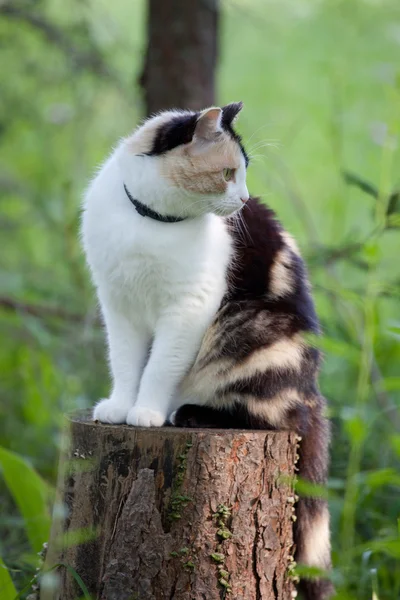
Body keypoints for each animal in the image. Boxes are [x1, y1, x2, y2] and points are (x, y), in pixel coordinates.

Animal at [79, 103, 332, 600]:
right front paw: (120, 406)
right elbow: (126, 364)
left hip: (249, 338)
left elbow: (159, 369)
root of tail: (312, 393)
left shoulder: (188, 311)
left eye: (244, 173)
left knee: (273, 418)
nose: (244, 199)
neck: (151, 224)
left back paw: (189, 413)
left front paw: (146, 412)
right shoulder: (118, 305)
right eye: (229, 173)